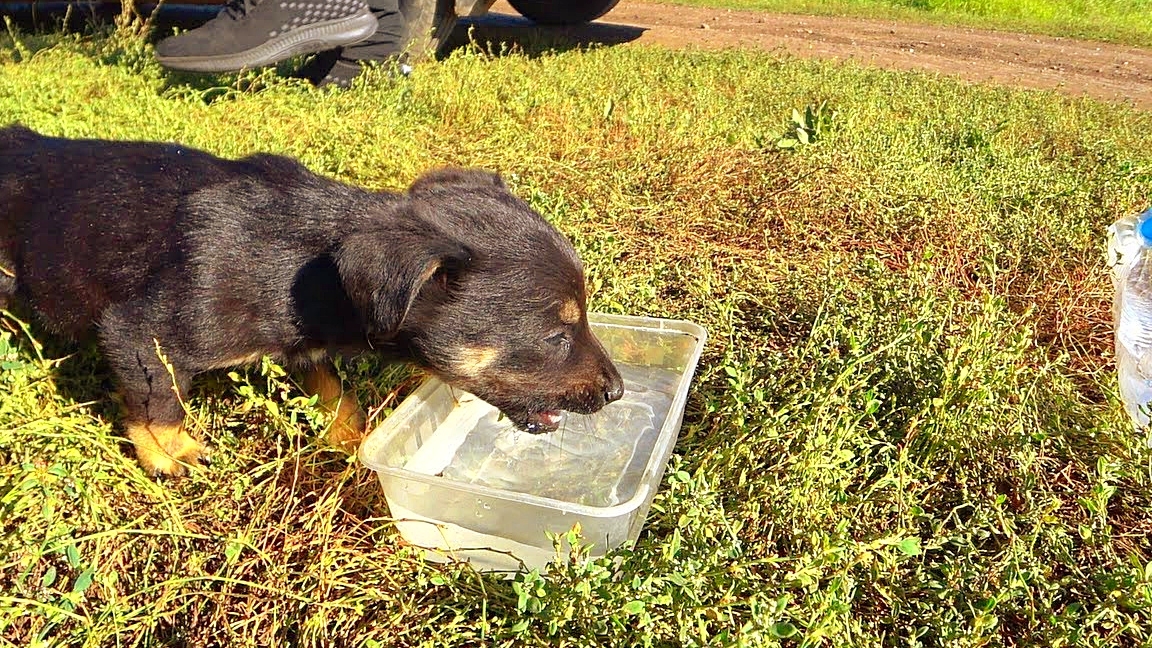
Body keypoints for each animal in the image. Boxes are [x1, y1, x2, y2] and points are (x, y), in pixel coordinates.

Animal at [0, 123, 626, 475]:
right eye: (555, 337)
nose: (617, 392)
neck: (307, 269)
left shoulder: (304, 345)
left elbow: (336, 395)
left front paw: (353, 442)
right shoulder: (139, 332)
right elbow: (158, 403)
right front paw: (169, 455)